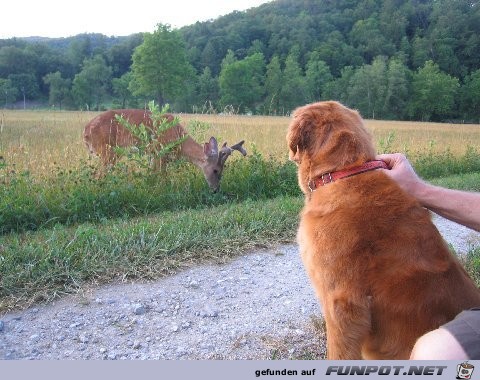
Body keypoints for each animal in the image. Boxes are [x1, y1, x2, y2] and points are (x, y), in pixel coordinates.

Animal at [82, 110, 246, 193]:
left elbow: (153, 175)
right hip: (107, 151)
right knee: (99, 175)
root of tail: (86, 130)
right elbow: (162, 176)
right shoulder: (159, 152)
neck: (179, 141)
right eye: (215, 170)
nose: (216, 189)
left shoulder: (153, 157)